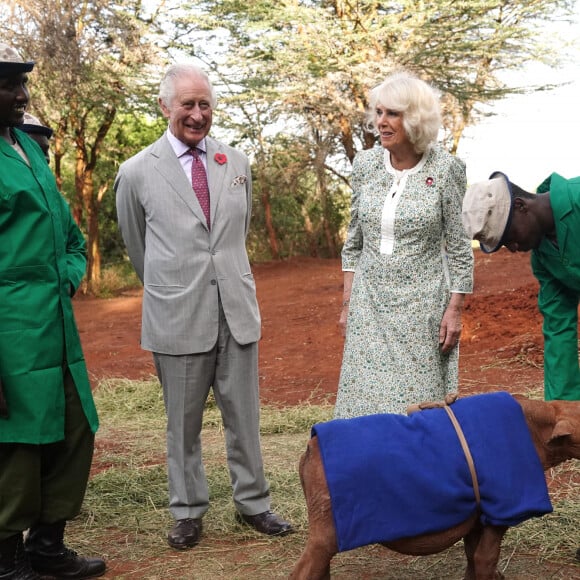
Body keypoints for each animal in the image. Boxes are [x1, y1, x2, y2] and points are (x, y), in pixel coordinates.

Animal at [290, 394, 580, 580]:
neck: (535, 431)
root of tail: (311, 447)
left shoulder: (478, 515)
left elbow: (472, 558)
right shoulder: (501, 512)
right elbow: (485, 560)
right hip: (325, 525)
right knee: (303, 572)